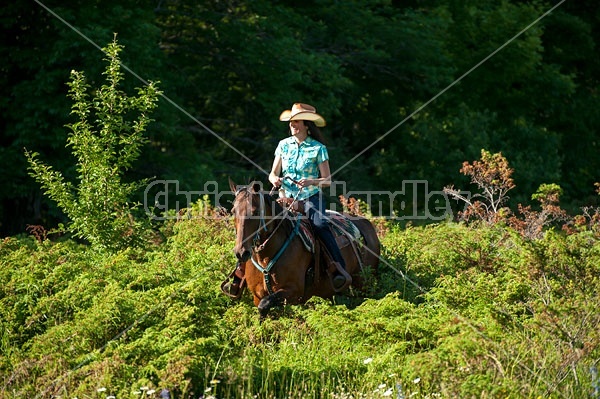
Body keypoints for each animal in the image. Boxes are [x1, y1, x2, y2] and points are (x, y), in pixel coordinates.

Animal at [230, 180, 380, 318]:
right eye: (233, 212)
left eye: (255, 212)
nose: (241, 252)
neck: (266, 257)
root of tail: (367, 224)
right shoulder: (257, 295)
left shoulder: (294, 292)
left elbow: (265, 304)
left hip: (363, 284)